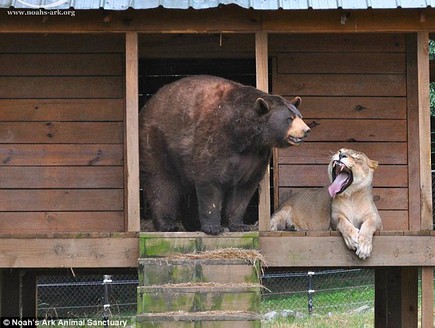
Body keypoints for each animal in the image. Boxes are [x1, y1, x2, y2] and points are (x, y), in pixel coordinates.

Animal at [140, 75, 310, 234]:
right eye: (289, 118)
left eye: (300, 116)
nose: (306, 130)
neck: (244, 136)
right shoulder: (215, 138)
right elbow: (210, 180)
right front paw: (213, 227)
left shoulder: (256, 155)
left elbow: (244, 188)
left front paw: (239, 225)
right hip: (156, 140)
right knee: (161, 182)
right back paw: (167, 224)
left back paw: (192, 223)